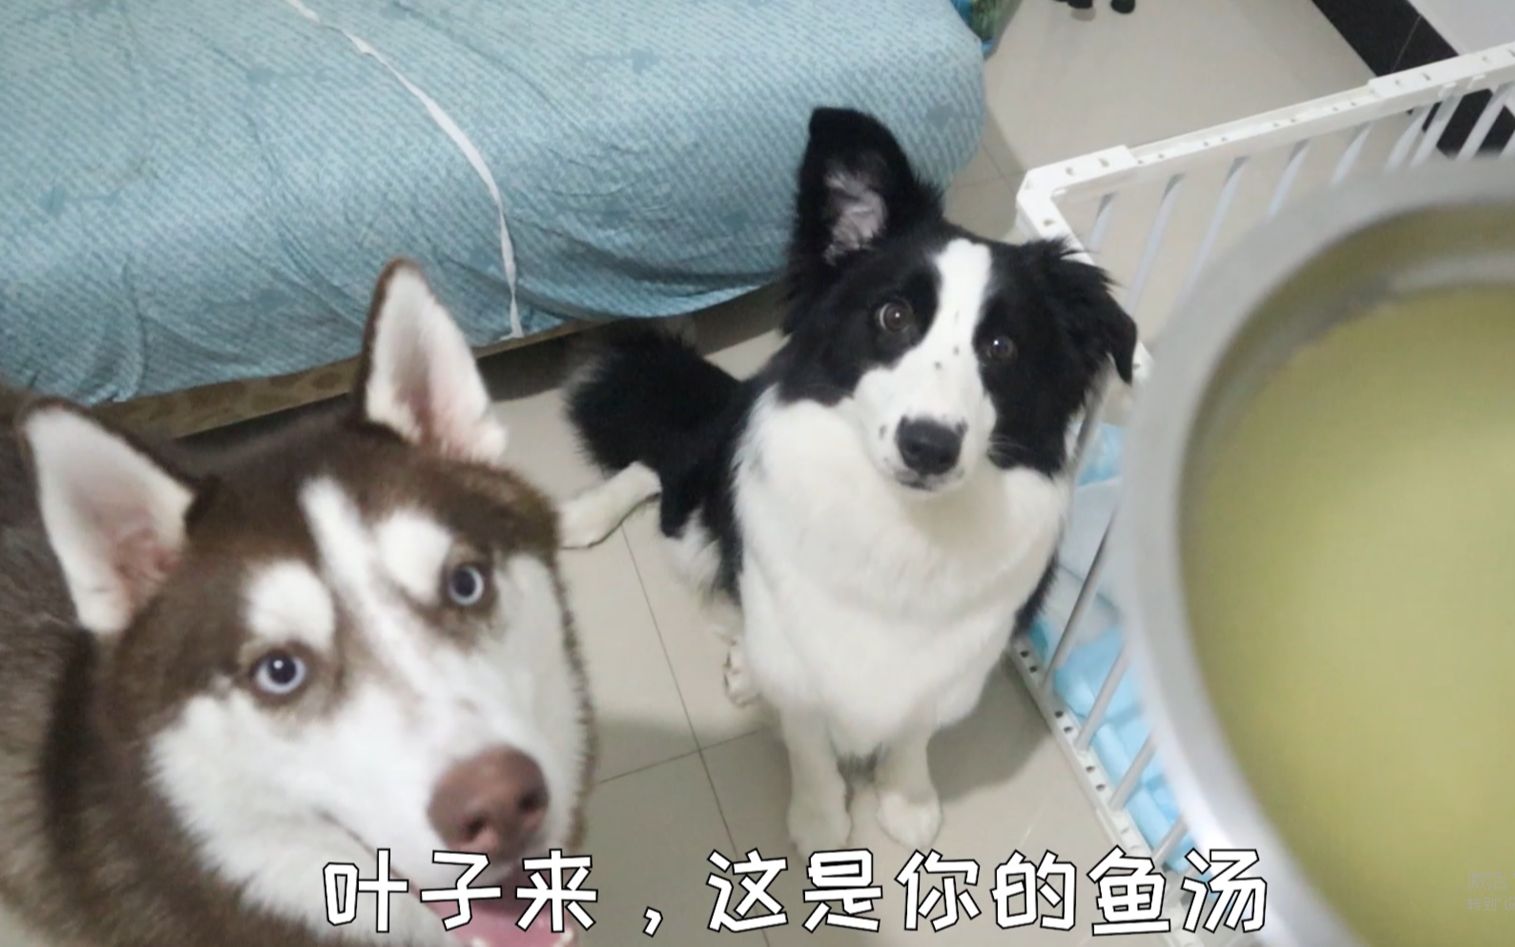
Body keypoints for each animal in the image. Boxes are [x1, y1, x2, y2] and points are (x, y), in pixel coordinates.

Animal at [560, 108, 1136, 854]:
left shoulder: (951, 665)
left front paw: (907, 798)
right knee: (667, 463)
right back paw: (585, 519)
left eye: (1001, 347)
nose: (928, 446)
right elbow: (808, 739)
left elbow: (915, 729)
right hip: (694, 522)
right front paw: (819, 818)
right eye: (893, 316)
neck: (902, 525)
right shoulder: (803, 659)